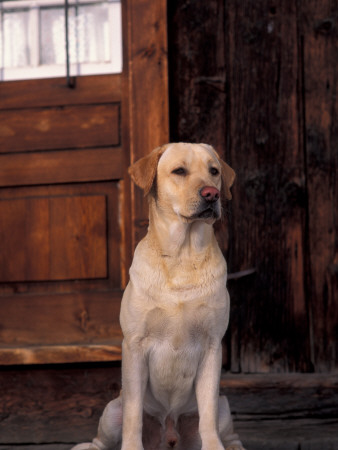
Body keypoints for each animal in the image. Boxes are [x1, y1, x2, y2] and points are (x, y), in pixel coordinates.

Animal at [72, 143, 244, 450]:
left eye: (214, 171)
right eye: (179, 171)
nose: (211, 194)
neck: (183, 257)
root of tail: (169, 432)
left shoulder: (213, 346)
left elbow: (208, 415)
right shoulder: (135, 345)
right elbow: (133, 415)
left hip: (224, 407)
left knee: (226, 429)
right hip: (111, 411)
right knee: (100, 440)